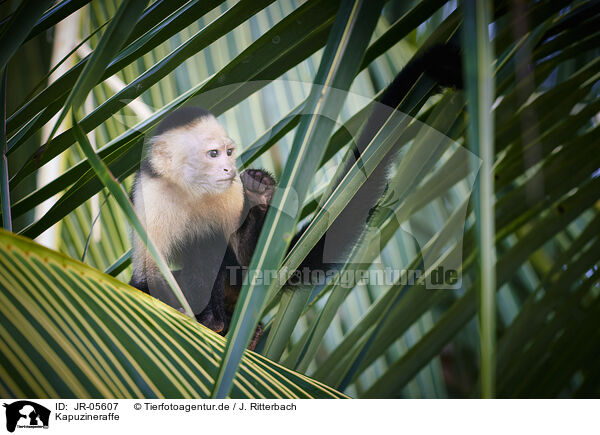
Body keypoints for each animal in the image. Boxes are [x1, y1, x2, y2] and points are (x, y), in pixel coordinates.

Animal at [129, 41, 462, 348]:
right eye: (213, 154)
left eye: (228, 152)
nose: (228, 168)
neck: (192, 191)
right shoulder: (149, 195)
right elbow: (147, 274)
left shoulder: (230, 194)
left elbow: (248, 262)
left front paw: (260, 194)